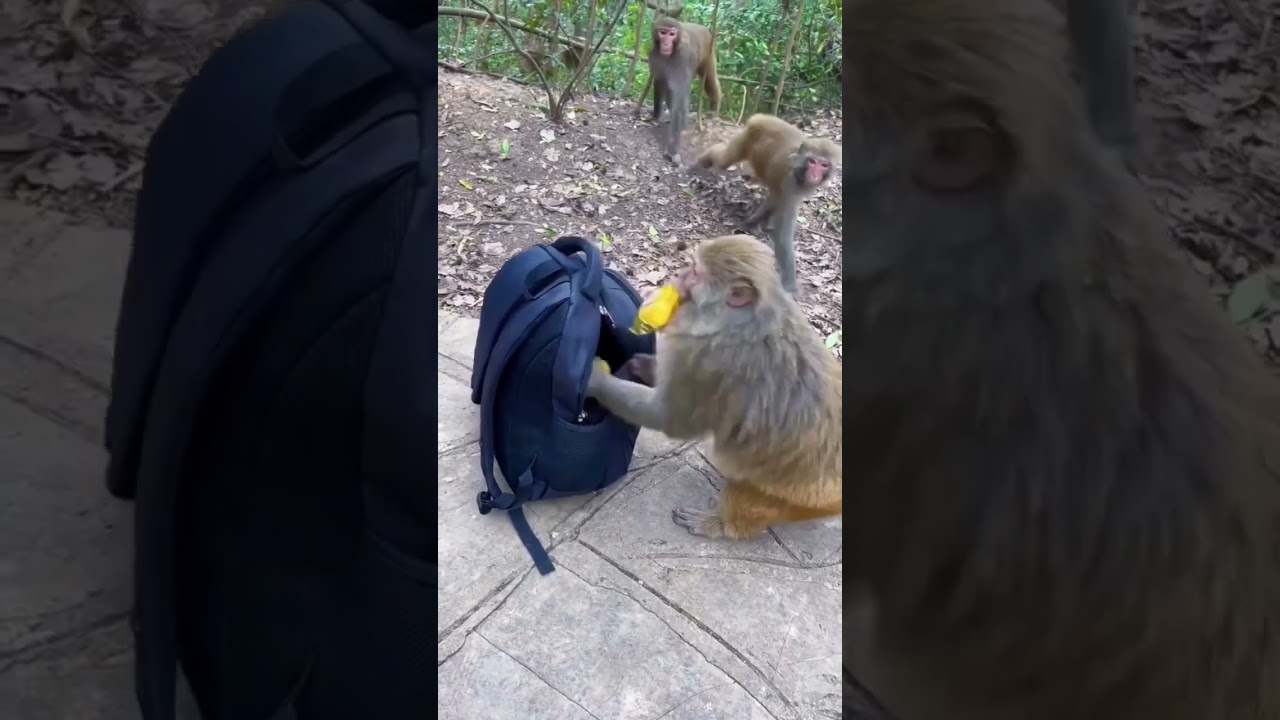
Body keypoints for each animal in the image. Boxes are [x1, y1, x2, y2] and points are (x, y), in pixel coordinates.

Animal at [586, 235, 842, 540]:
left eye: (695, 273)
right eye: (689, 267)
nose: (678, 275)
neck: (738, 323)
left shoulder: (707, 360)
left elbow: (669, 419)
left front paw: (595, 379)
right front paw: (646, 367)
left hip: (805, 498)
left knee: (751, 496)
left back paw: (724, 524)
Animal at [643, 17, 721, 163]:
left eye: (671, 34)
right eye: (662, 32)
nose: (666, 43)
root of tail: (704, 28)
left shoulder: (682, 58)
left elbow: (680, 94)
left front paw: (672, 148)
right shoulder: (654, 55)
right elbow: (660, 82)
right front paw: (656, 115)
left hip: (709, 52)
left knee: (709, 80)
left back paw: (714, 108)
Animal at [693, 114, 840, 296]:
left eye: (824, 165)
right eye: (812, 162)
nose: (814, 174)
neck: (799, 170)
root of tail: (763, 118)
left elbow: (774, 200)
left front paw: (751, 224)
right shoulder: (791, 184)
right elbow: (783, 235)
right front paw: (790, 288)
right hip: (746, 138)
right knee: (724, 159)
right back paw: (700, 163)